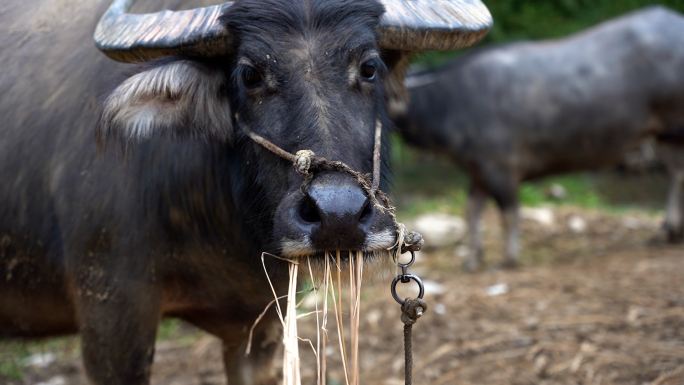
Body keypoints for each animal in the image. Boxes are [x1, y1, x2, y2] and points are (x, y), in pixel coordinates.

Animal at [392, 6, 684, 270]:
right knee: (675, 172)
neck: (451, 101)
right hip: (666, 134)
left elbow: (509, 213)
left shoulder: (501, 169)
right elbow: (471, 211)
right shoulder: (477, 172)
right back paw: (670, 231)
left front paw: (508, 259)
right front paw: (473, 258)